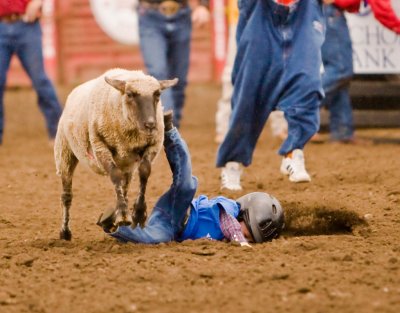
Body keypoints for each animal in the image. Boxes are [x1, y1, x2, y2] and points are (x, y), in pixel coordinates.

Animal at [54, 67, 177, 239]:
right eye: (130, 94)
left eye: (158, 94)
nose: (150, 124)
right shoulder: (100, 147)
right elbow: (115, 176)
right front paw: (123, 216)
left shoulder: (153, 145)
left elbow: (144, 172)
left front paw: (138, 213)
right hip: (64, 152)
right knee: (66, 196)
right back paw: (65, 232)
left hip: (127, 164)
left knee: (124, 187)